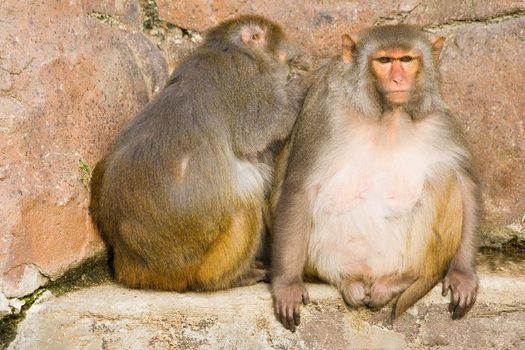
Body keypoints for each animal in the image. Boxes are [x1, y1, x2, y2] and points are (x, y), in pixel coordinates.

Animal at [90, 14, 302, 292]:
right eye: (286, 60)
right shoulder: (244, 80)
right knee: (246, 191)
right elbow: (257, 130)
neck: (229, 47)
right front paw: (297, 93)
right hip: (203, 260)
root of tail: (131, 266)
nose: (289, 73)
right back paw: (229, 278)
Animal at [270, 25, 478, 330]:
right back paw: (348, 283)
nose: (397, 78)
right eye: (384, 61)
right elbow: (300, 188)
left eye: (406, 59)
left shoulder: (438, 119)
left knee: (443, 175)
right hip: (324, 260)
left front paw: (463, 272)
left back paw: (404, 279)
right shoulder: (328, 116)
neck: (388, 116)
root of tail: (368, 276)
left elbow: (466, 183)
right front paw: (286, 284)